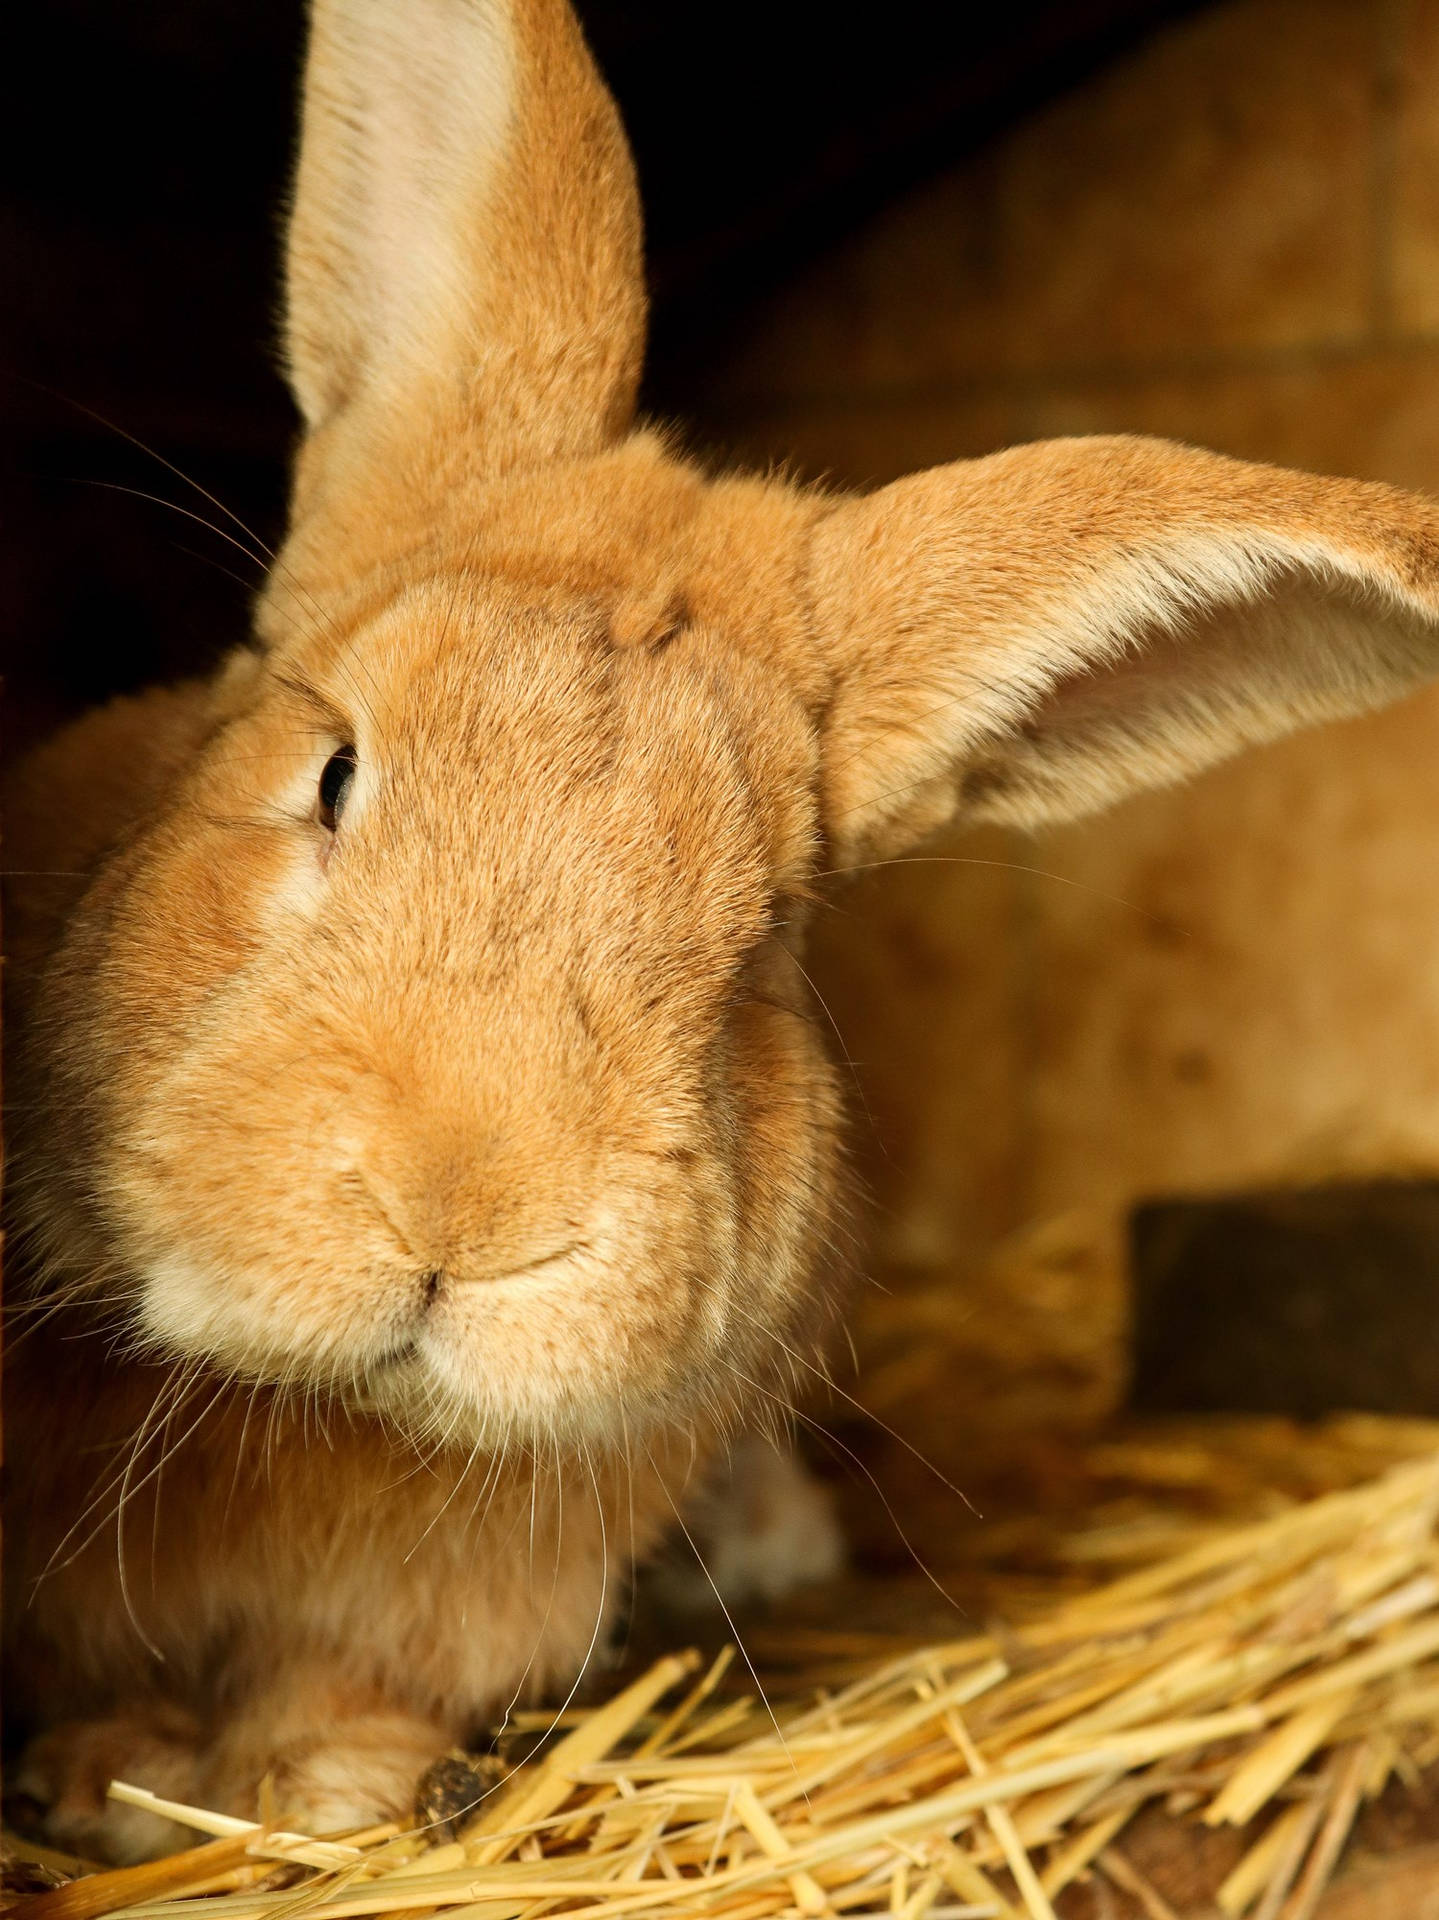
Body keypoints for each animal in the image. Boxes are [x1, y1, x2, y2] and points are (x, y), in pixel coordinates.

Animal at [14, 0, 1439, 1858]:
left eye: (758, 944)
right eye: (328, 769)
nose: (462, 1208)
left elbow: (335, 1698)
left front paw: (324, 1792)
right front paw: (98, 1782)